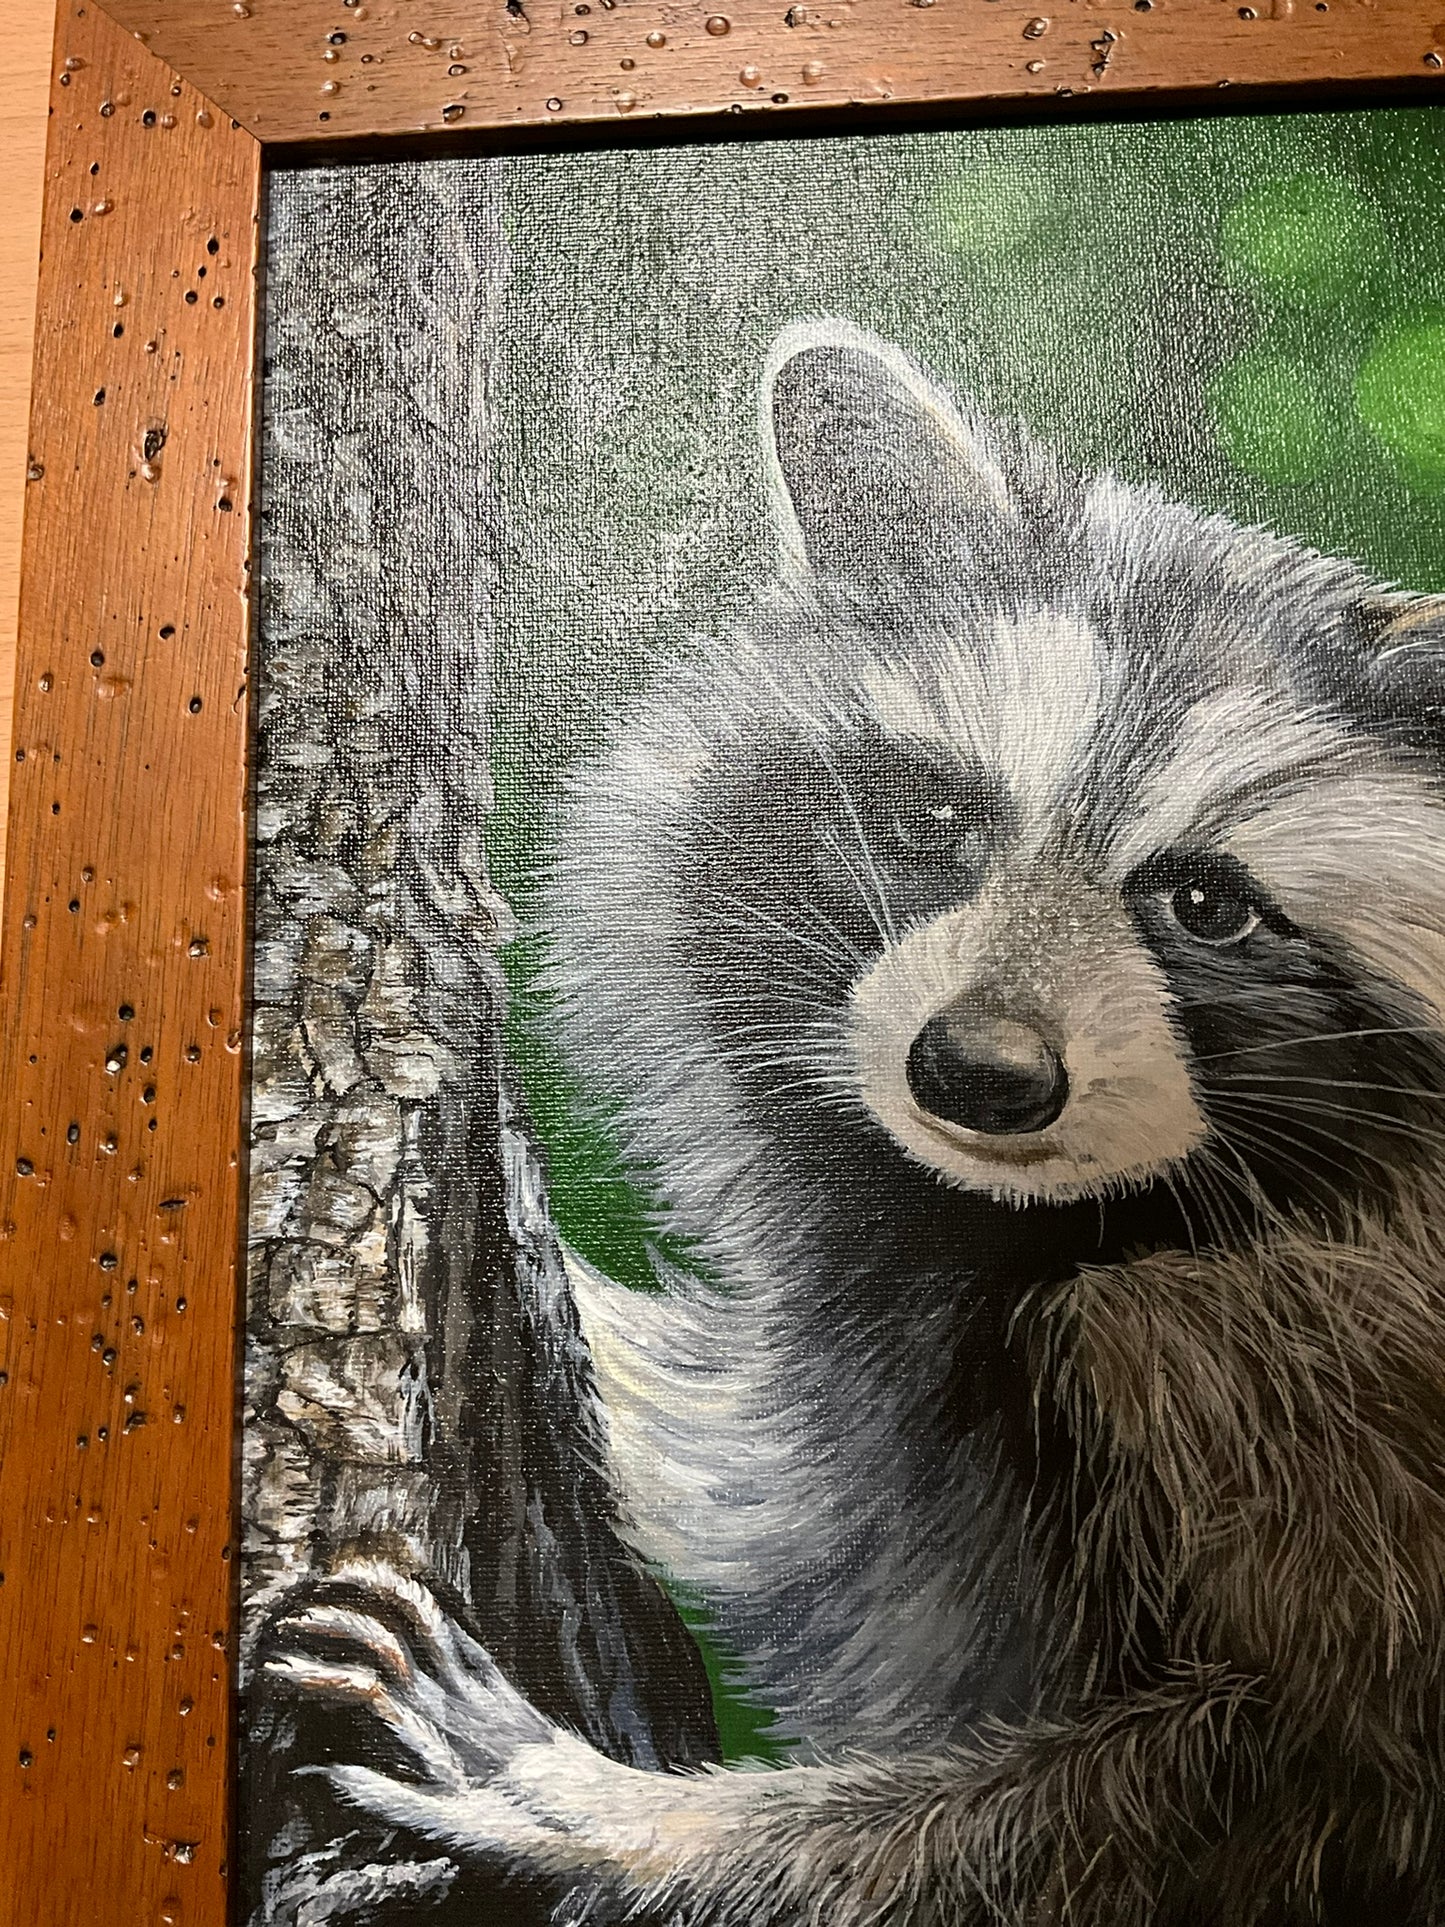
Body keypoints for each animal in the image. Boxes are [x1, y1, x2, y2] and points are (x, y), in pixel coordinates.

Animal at [269, 321, 1445, 1924]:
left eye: (1205, 903)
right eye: (940, 824)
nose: (977, 1073)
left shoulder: (1281, 1368)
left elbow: (1290, 1776)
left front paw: (615, 1814)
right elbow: (786, 1493)